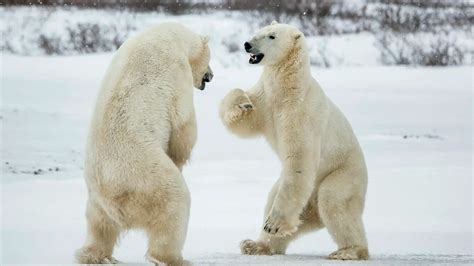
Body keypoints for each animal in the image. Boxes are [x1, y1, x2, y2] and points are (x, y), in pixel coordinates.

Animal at [75, 22, 213, 264]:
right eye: (209, 60)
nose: (211, 76)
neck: (171, 35)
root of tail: (113, 199)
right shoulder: (176, 70)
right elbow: (183, 124)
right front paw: (180, 159)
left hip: (96, 199)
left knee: (99, 226)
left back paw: (94, 255)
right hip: (146, 178)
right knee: (175, 204)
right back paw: (172, 258)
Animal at [219, 21, 370, 260]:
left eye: (271, 36)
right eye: (259, 31)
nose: (247, 44)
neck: (288, 87)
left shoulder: (300, 111)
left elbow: (300, 157)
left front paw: (274, 224)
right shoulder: (266, 99)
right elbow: (245, 121)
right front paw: (242, 104)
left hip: (343, 173)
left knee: (335, 202)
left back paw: (348, 251)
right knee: (275, 198)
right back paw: (256, 244)